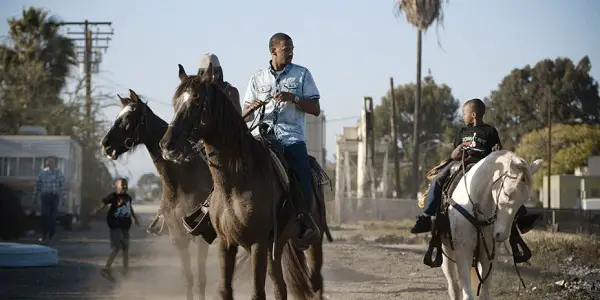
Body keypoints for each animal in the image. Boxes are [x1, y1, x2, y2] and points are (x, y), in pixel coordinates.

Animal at [100, 89, 248, 300]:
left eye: (128, 117)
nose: (105, 145)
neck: (183, 183)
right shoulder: (178, 238)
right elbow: (188, 278)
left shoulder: (201, 237)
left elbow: (201, 278)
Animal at [158, 65, 332, 300]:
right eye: (175, 102)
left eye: (196, 101)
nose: (167, 145)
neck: (235, 183)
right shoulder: (226, 243)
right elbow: (225, 289)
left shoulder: (257, 244)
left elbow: (257, 292)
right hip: (278, 246)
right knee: (280, 286)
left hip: (312, 242)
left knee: (315, 283)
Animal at [440, 151, 544, 300]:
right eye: (507, 193)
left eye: (523, 200)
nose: (502, 235)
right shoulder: (463, 252)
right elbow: (467, 293)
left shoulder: (488, 255)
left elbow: (484, 294)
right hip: (447, 252)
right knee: (453, 285)